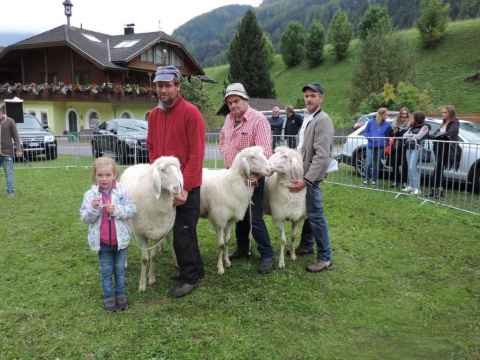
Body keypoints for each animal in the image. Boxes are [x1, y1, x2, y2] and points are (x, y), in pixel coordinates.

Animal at [119, 157, 183, 292]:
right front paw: (142, 285)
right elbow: (145, 259)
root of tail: (136, 164)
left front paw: (152, 278)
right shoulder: (142, 234)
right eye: (163, 170)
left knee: (169, 240)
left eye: (178, 170)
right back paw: (125, 263)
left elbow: (153, 256)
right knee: (126, 243)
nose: (177, 189)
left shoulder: (158, 231)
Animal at [201, 146, 272, 276]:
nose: (269, 169)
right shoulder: (220, 219)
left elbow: (227, 241)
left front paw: (227, 262)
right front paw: (220, 268)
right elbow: (220, 244)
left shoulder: (230, 219)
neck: (232, 182)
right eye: (252, 157)